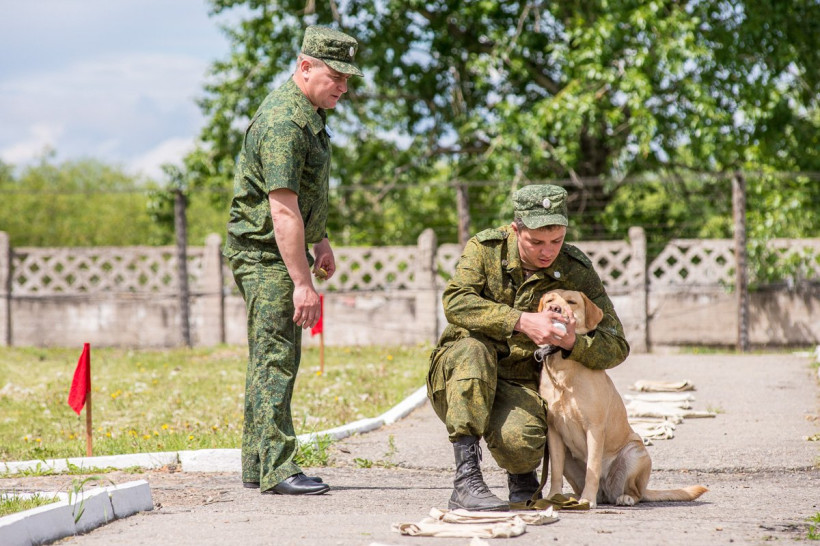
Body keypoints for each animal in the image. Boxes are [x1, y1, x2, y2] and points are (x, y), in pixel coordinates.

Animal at [536, 289, 708, 508]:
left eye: (571, 302)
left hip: (635, 452)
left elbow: (593, 467)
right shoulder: (554, 431)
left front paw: (587, 500)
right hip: (569, 459)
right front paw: (553, 496)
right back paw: (571, 496)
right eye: (550, 300)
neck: (563, 368)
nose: (554, 308)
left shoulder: (594, 428)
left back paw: (622, 497)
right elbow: (555, 471)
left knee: (635, 492)